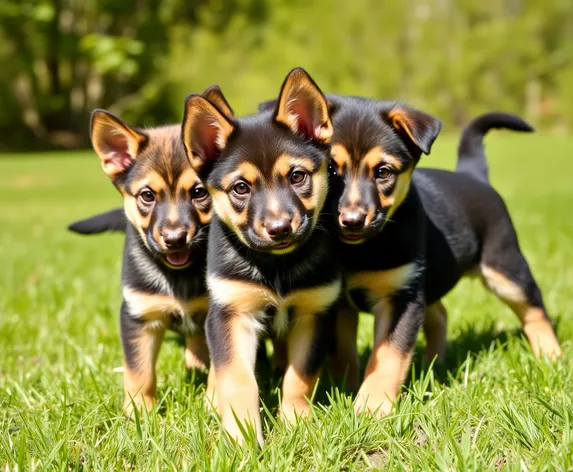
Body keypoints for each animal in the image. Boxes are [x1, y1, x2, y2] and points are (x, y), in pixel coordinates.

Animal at [70, 86, 233, 414]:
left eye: (199, 192)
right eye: (147, 195)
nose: (175, 238)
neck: (180, 276)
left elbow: (221, 365)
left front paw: (213, 405)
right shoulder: (138, 316)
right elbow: (139, 370)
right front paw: (139, 413)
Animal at [181, 68, 340, 444]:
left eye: (297, 176)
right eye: (241, 188)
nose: (279, 228)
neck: (277, 265)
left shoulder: (314, 313)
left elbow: (300, 376)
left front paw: (297, 423)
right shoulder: (232, 312)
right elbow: (237, 378)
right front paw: (240, 437)